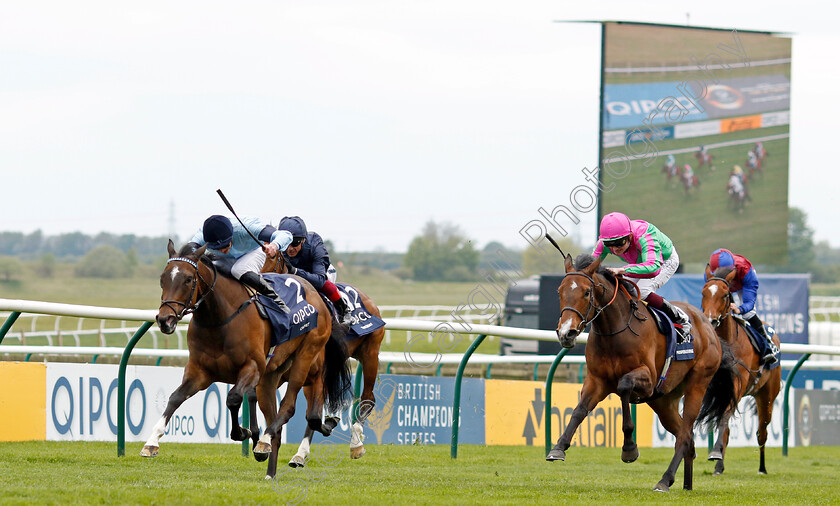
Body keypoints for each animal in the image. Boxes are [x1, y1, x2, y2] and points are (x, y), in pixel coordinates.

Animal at [144, 239, 348, 476]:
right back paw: (270, 470)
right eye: (163, 279)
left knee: (291, 407)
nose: (165, 320)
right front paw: (151, 442)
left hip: (306, 358)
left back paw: (267, 441)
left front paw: (244, 432)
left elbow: (233, 398)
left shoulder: (252, 368)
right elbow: (175, 398)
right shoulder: (199, 372)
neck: (220, 319)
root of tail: (317, 295)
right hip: (271, 378)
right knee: (288, 423)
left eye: (188, 279)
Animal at [262, 252, 388, 466]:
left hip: (370, 353)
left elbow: (310, 414)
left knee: (368, 398)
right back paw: (302, 452)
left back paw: (355, 442)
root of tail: (368, 299)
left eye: (272, 262)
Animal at [548, 253, 740, 490]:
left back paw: (665, 480)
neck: (615, 331)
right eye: (560, 291)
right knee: (685, 436)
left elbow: (624, 387)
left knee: (685, 435)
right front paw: (558, 447)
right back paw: (686, 484)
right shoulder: (596, 381)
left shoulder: (647, 380)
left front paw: (629, 449)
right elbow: (579, 410)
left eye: (586, 292)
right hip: (663, 401)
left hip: (697, 383)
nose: (566, 332)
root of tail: (708, 326)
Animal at [700, 266, 784, 476]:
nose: (710, 320)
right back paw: (719, 466)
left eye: (724, 295)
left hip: (767, 396)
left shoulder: (737, 384)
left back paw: (762, 468)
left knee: (762, 432)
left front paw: (715, 452)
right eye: (703, 293)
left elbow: (724, 418)